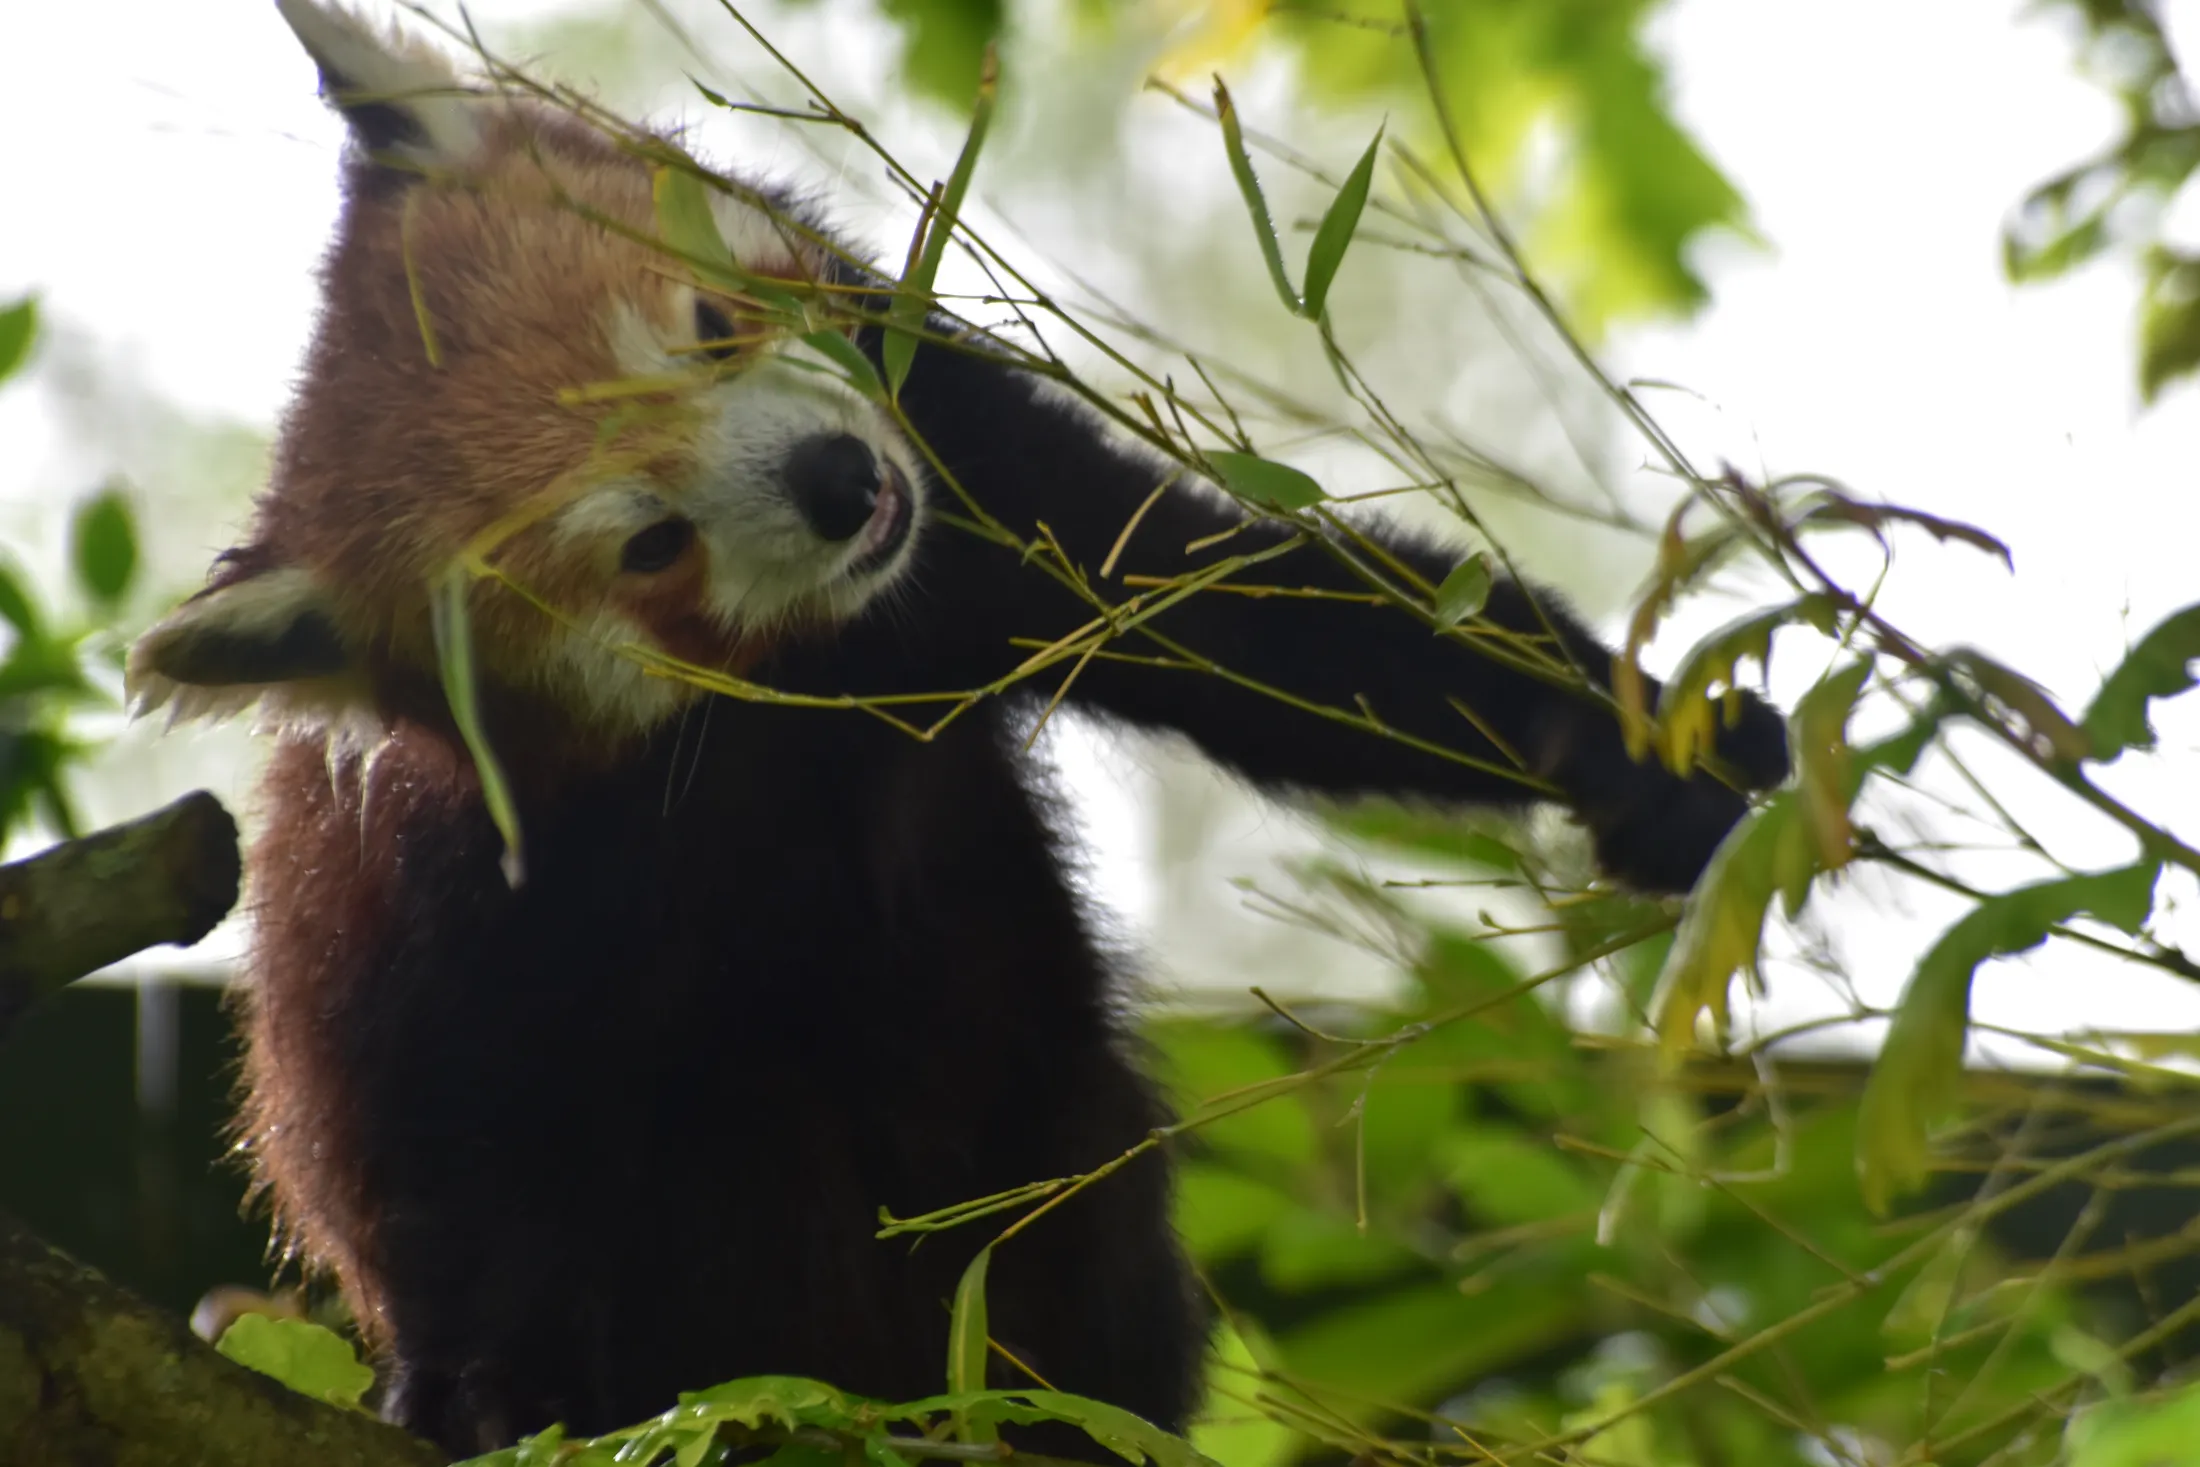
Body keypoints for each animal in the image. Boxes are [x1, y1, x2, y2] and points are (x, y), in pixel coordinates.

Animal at [128, 0, 1789, 1455]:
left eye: (711, 322)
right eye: (649, 544)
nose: (837, 483)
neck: (816, 677)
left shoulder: (980, 494)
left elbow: (1267, 625)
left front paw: (1647, 754)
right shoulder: (466, 886)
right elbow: (435, 1130)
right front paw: (479, 1387)